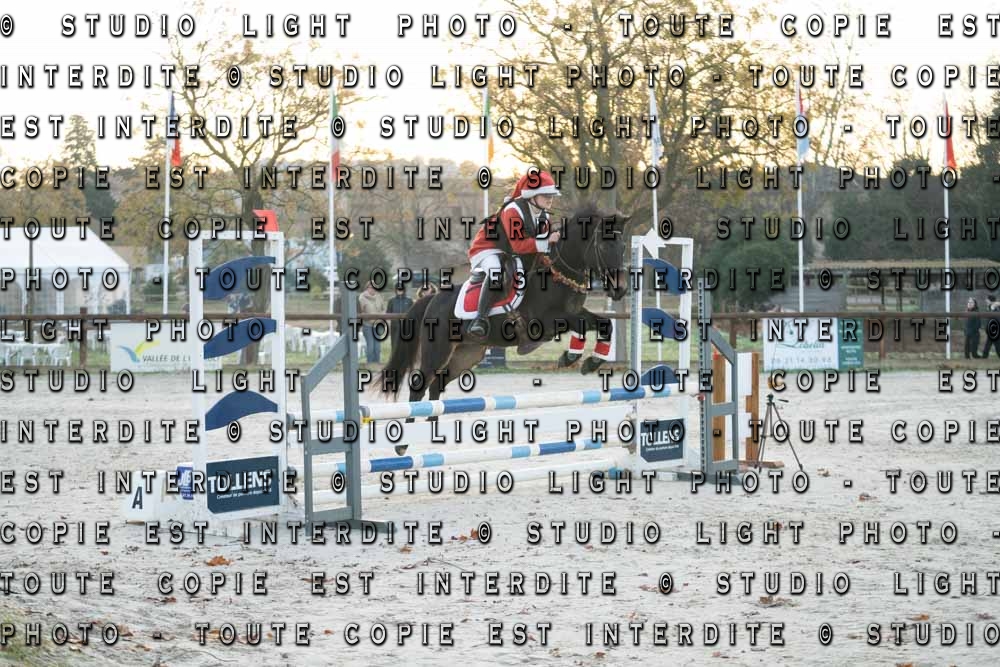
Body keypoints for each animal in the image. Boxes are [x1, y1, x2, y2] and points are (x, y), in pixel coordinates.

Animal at [380, 203, 634, 405]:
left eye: (623, 247)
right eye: (604, 247)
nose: (620, 289)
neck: (558, 275)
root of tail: (432, 299)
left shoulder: (577, 312)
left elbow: (604, 325)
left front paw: (590, 361)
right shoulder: (547, 321)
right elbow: (582, 326)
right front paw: (571, 358)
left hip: (466, 355)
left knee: (435, 387)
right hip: (437, 350)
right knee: (419, 388)